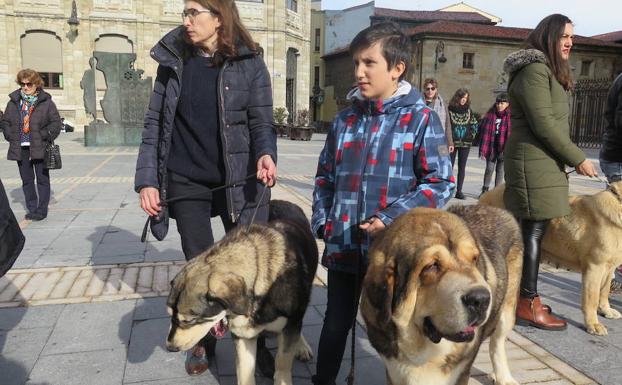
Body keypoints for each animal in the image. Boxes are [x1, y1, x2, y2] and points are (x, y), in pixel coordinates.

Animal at [166, 200, 320, 382]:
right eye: (170, 315)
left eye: (189, 321)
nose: (170, 347)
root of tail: (280, 201)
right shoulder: (243, 335)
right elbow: (245, 374)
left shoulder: (288, 327)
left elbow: (282, 367)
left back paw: (301, 346)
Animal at [360, 206, 528, 384]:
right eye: (431, 266)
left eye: (474, 259)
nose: (482, 299)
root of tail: (496, 208)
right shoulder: (393, 370)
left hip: (507, 312)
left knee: (497, 341)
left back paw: (504, 376)